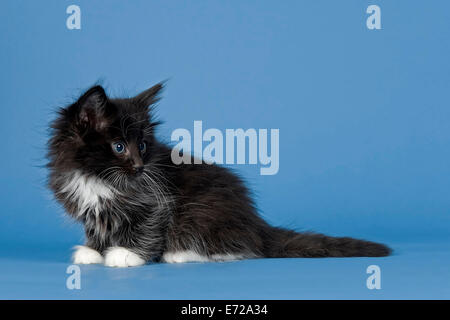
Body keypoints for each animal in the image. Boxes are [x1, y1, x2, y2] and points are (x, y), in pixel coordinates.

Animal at [45, 83, 390, 268]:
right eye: (119, 147)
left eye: (142, 145)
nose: (141, 166)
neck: (97, 178)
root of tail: (254, 221)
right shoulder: (91, 205)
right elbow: (97, 226)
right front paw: (92, 251)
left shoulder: (154, 202)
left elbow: (147, 227)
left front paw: (125, 255)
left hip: (205, 211)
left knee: (240, 247)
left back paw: (182, 254)